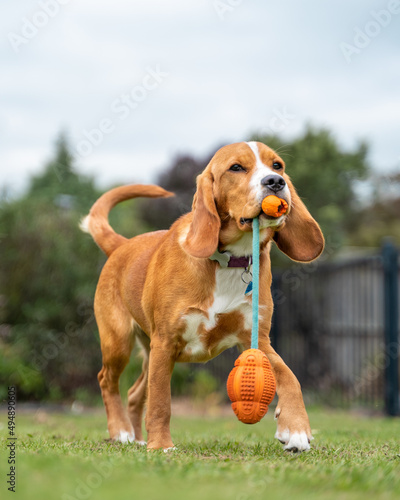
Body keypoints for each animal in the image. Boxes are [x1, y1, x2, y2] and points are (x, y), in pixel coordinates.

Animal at [81, 142, 324, 454]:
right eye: (236, 168)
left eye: (277, 165)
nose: (275, 182)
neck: (229, 260)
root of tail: (122, 245)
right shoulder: (166, 341)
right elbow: (161, 402)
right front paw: (161, 446)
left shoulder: (256, 340)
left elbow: (290, 376)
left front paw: (296, 430)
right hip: (119, 342)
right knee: (107, 381)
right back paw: (121, 431)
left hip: (150, 352)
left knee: (135, 393)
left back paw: (136, 437)